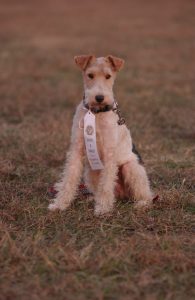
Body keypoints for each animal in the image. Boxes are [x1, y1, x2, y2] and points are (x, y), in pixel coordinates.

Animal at [48, 55, 152, 216]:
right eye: (90, 75)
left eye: (108, 76)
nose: (99, 97)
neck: (96, 113)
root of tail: (121, 195)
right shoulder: (76, 149)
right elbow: (69, 178)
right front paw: (59, 204)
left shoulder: (109, 153)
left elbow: (106, 184)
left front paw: (103, 209)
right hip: (91, 171)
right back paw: (92, 199)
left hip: (131, 169)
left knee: (146, 195)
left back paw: (141, 204)